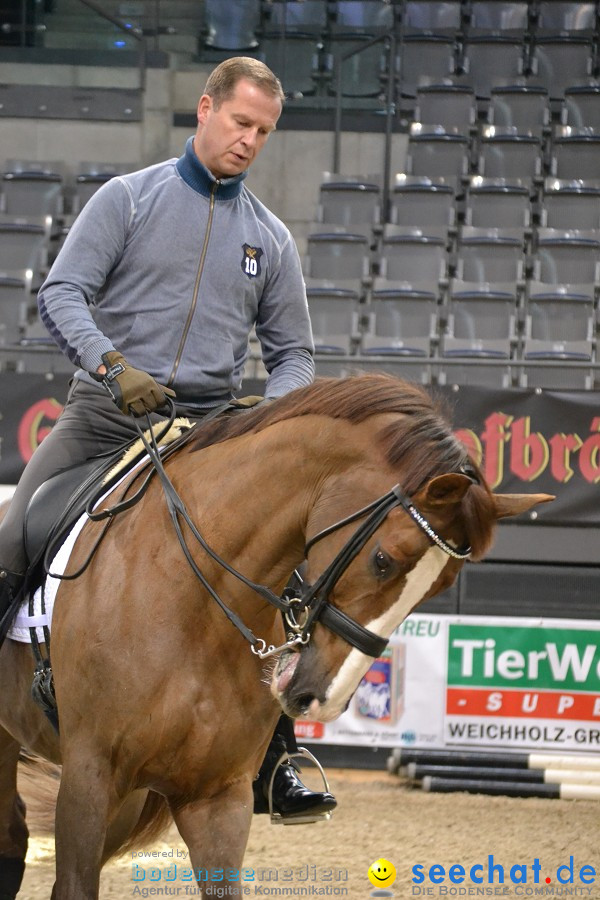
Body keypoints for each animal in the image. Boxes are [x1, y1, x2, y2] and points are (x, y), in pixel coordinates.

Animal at [0, 376, 548, 896]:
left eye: (442, 585)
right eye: (383, 559)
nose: (323, 700)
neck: (186, 592)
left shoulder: (216, 797)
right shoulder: (90, 776)